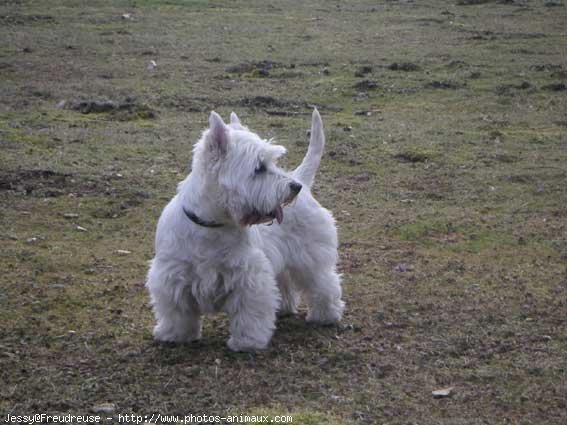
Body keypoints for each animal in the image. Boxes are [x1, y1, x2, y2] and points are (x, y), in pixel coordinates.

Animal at [144, 109, 344, 352]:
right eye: (259, 168)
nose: (293, 187)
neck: (212, 225)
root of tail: (302, 179)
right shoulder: (172, 275)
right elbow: (176, 310)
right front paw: (175, 334)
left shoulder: (249, 276)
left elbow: (250, 313)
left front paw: (248, 341)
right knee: (286, 284)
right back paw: (284, 308)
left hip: (310, 256)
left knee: (324, 283)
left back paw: (326, 315)